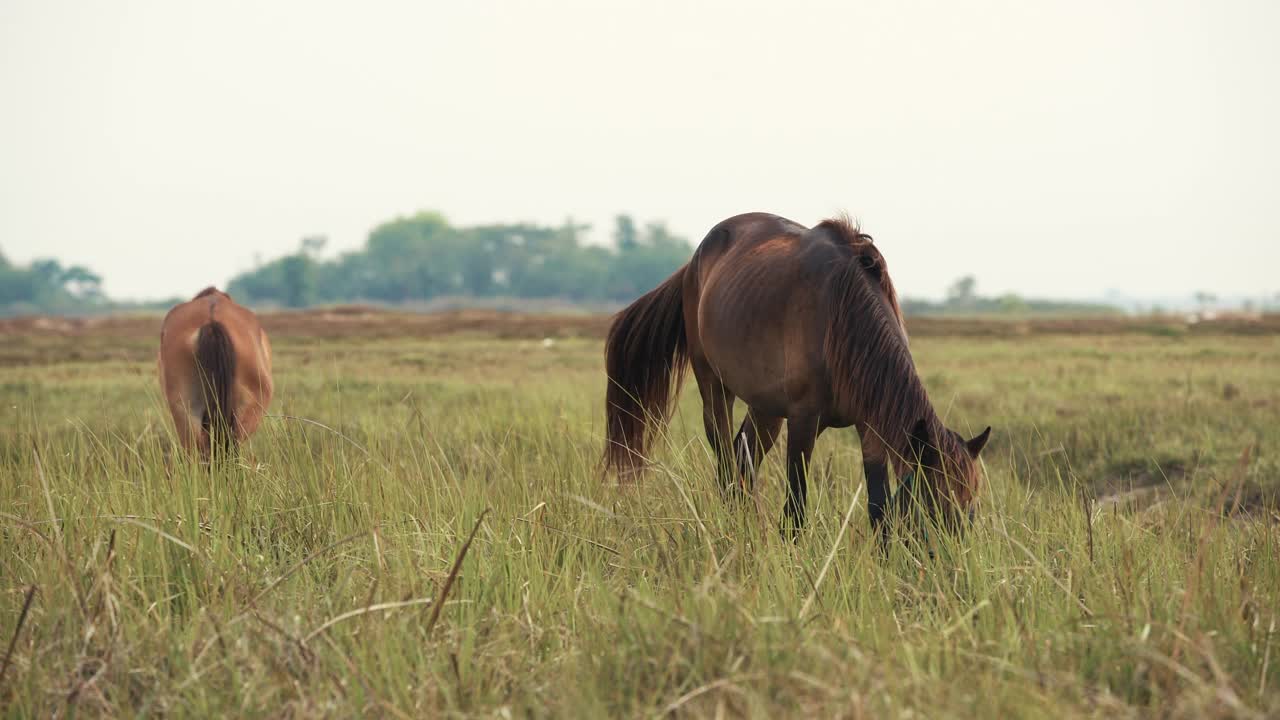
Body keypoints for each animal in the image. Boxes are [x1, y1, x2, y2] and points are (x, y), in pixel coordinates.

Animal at [604, 210, 993, 535]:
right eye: (934, 504)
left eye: (971, 505)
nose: (950, 566)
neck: (842, 316)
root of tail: (694, 261)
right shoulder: (804, 422)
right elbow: (795, 512)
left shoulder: (869, 427)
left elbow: (878, 510)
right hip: (714, 386)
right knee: (727, 462)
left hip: (766, 408)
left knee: (743, 460)